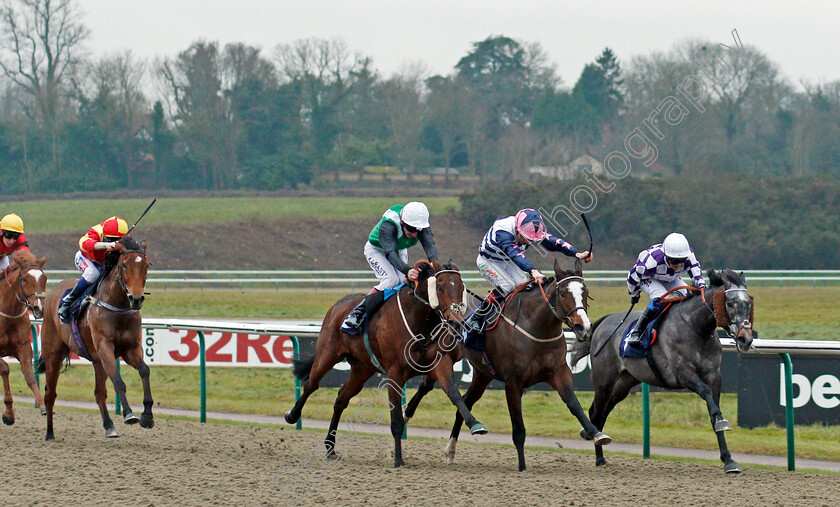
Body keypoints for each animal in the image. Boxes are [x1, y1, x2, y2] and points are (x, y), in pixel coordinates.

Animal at [0, 250, 47, 424]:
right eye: (25, 278)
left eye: (44, 278)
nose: (39, 308)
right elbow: (5, 369)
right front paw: (8, 413)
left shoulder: (23, 346)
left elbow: (29, 374)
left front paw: (42, 404)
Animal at [35, 238, 154, 440]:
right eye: (124, 265)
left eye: (145, 265)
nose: (136, 298)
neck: (117, 306)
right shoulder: (105, 347)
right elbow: (118, 382)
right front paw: (129, 414)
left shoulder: (130, 348)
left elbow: (144, 371)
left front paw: (147, 416)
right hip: (53, 355)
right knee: (50, 394)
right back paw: (49, 433)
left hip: (97, 361)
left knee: (99, 393)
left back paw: (109, 426)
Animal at [288, 262, 488, 468]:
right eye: (439, 288)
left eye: (461, 287)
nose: (456, 322)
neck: (418, 320)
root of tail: (339, 304)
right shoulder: (395, 374)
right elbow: (396, 419)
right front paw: (398, 459)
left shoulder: (440, 364)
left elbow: (455, 395)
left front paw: (475, 424)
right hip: (327, 354)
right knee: (311, 384)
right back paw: (292, 415)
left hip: (362, 368)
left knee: (342, 398)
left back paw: (330, 446)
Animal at [406, 260, 612, 474]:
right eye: (563, 293)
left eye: (585, 291)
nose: (583, 328)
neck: (536, 329)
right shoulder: (513, 382)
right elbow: (518, 428)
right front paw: (522, 466)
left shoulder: (559, 372)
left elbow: (574, 404)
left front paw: (596, 433)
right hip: (443, 358)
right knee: (426, 385)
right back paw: (406, 414)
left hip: (482, 374)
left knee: (465, 403)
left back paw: (452, 449)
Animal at [572, 268, 756, 474]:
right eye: (730, 303)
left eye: (749, 303)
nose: (745, 339)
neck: (696, 328)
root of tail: (604, 322)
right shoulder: (683, 374)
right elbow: (707, 396)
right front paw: (723, 423)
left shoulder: (714, 376)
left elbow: (714, 411)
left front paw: (729, 460)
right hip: (604, 380)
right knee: (597, 412)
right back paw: (599, 456)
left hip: (626, 382)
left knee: (604, 410)